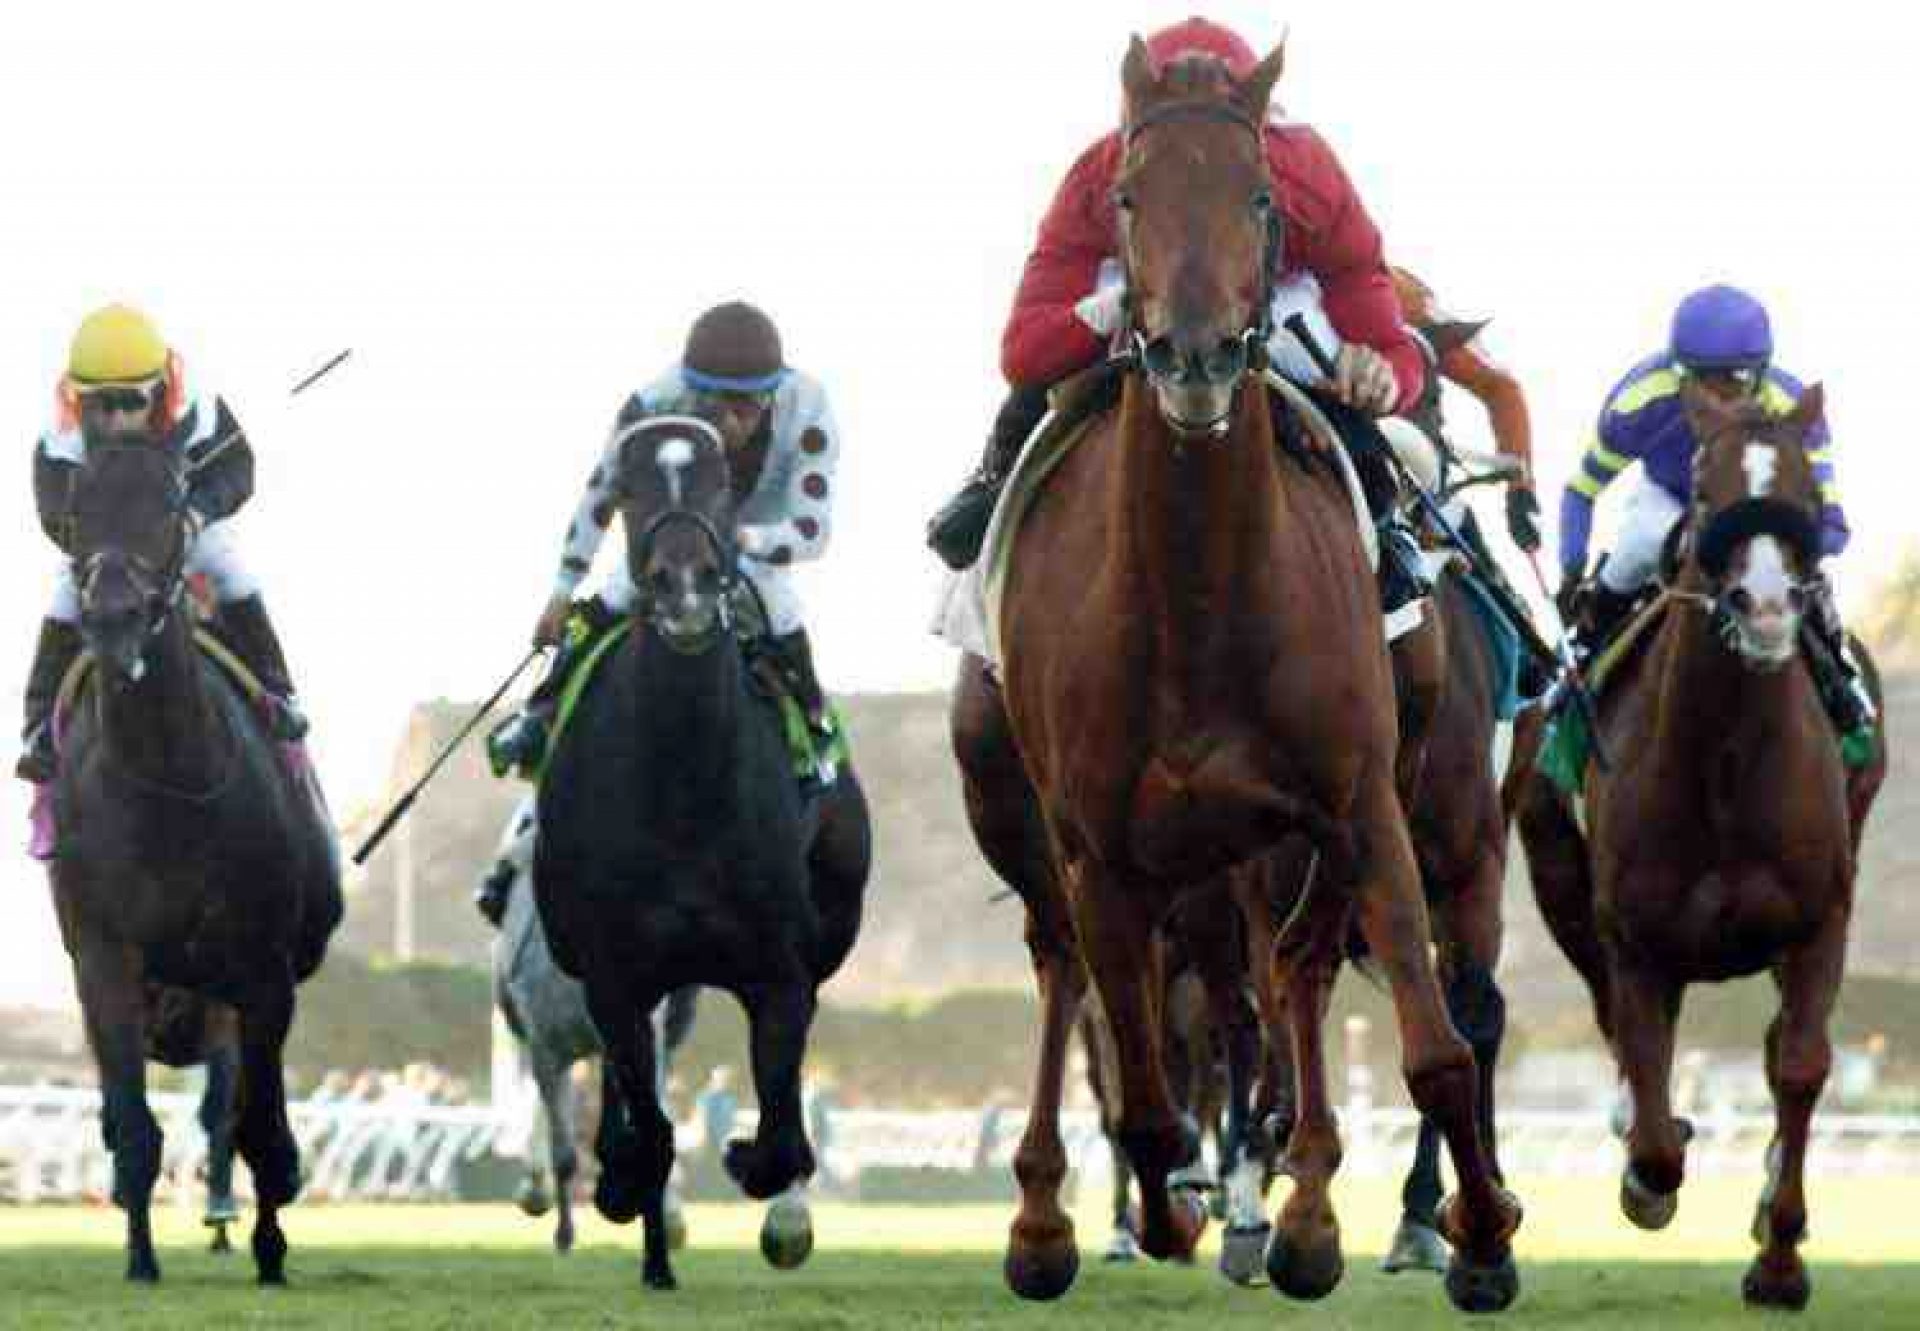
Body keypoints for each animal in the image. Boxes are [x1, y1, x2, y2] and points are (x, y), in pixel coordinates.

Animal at [47, 441, 341, 1282]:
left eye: (170, 504)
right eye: (78, 511)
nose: (113, 617)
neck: (167, 779)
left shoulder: (259, 968)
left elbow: (254, 1119)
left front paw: (270, 1244)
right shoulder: (105, 955)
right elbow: (133, 1122)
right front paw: (140, 1253)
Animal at [537, 412, 875, 1290]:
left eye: (722, 487)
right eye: (627, 490)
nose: (684, 584)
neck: (686, 787)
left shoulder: (779, 973)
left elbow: (783, 1128)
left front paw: (764, 1182)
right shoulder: (616, 974)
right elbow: (651, 1125)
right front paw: (634, 1199)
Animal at [952, 33, 1520, 1306]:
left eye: (1262, 197)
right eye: (1125, 197)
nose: (1197, 356)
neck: (1198, 599)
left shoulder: (1366, 805)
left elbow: (1440, 1044)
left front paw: (1479, 1234)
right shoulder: (1102, 849)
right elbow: (1147, 1093)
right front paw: (1168, 1211)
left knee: (1295, 977)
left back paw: (1309, 1210)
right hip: (1018, 804)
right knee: (1070, 979)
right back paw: (1052, 1217)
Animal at [1512, 384, 1889, 1306]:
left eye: (1807, 498)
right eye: (1709, 494)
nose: (1766, 605)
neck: (1722, 762)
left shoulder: (1819, 921)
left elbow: (1799, 1065)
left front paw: (1780, 1256)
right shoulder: (1637, 937)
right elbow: (1650, 1105)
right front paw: (1647, 1179)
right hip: (1555, 865)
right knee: (1613, 1019)